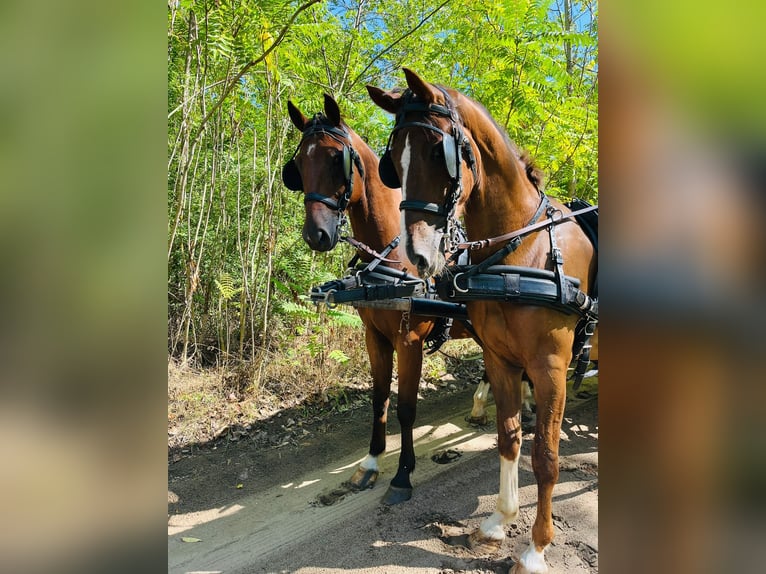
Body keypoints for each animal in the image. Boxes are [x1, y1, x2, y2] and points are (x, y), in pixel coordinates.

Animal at [282, 93, 489, 504]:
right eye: (298, 166)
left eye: (336, 158)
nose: (316, 235)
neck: (392, 258)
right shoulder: (374, 337)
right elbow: (380, 400)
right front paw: (371, 462)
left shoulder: (409, 340)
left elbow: (406, 408)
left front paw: (403, 474)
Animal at [367, 69, 597, 573]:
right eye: (394, 161)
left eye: (440, 153)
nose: (417, 255)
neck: (519, 251)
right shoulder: (500, 358)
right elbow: (509, 439)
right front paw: (498, 521)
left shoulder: (551, 367)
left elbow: (545, 456)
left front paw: (535, 548)